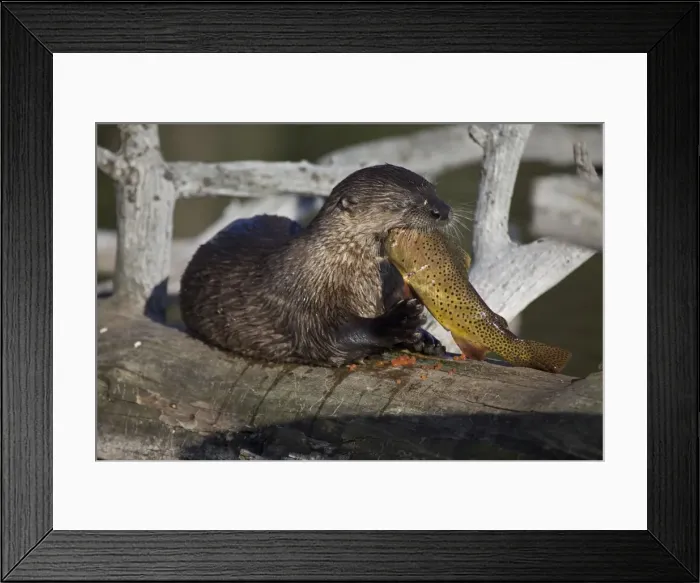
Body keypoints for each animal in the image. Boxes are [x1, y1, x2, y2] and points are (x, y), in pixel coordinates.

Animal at [179, 163, 453, 367]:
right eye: (404, 203)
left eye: (434, 191)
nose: (444, 210)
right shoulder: (301, 300)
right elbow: (328, 338)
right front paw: (398, 321)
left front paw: (425, 339)